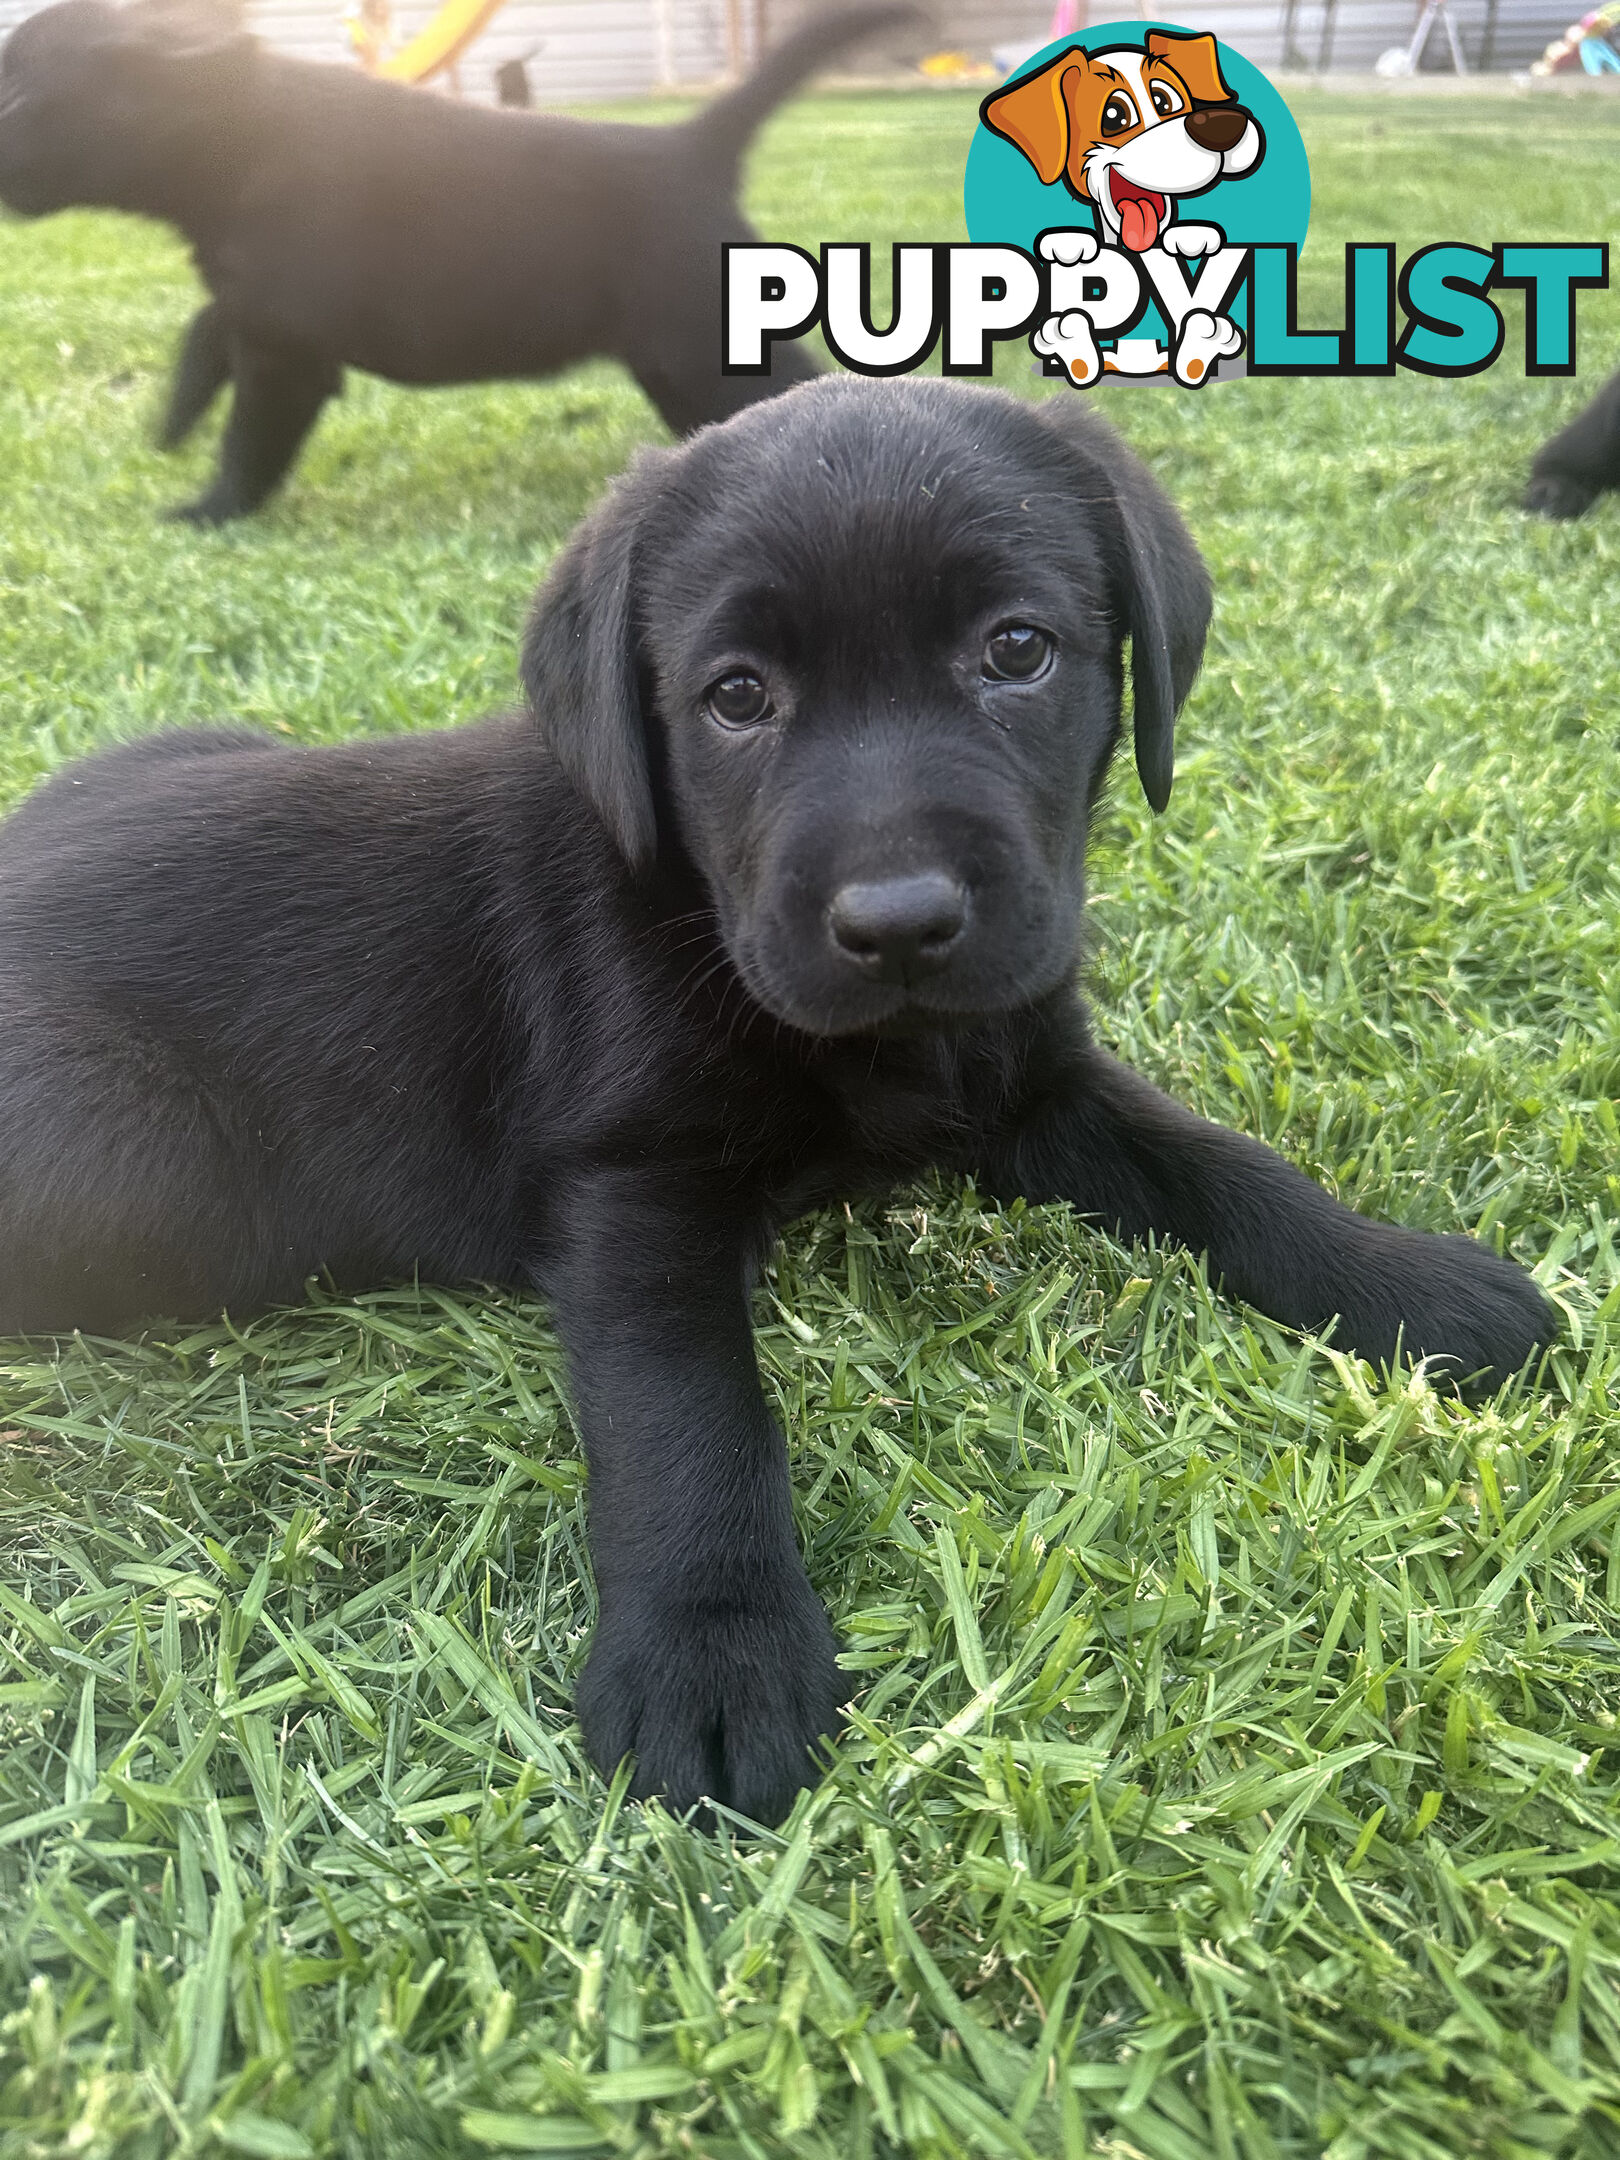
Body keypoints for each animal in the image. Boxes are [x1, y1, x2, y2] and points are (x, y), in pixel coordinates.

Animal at [0, 375, 1563, 1823]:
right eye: (737, 696)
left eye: (1017, 650)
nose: (900, 922)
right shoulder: (631, 1192)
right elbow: (691, 1417)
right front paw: (715, 1649)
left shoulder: (1032, 1071)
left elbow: (1226, 1165)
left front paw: (1408, 1281)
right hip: (135, 1167)